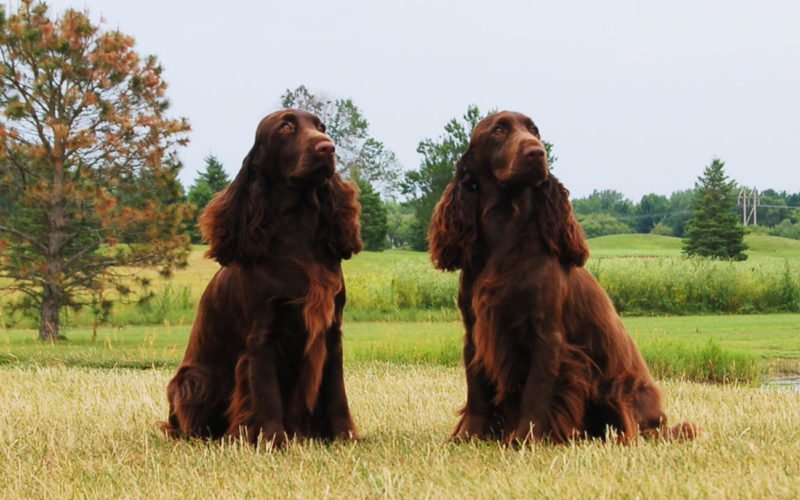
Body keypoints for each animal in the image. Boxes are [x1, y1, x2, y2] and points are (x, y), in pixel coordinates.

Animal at [161, 108, 360, 446]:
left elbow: (337, 393)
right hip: (194, 380)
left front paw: (345, 436)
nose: (327, 147)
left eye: (321, 126)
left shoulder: (331, 331)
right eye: (286, 127)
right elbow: (267, 395)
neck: (298, 232)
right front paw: (272, 441)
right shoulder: (262, 337)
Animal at [428, 111, 696, 444]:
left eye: (534, 130)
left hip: (621, 390)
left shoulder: (546, 335)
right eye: (498, 130)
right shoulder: (475, 330)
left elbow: (536, 391)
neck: (505, 233)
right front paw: (467, 436)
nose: (536, 153)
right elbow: (476, 390)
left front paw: (525, 438)